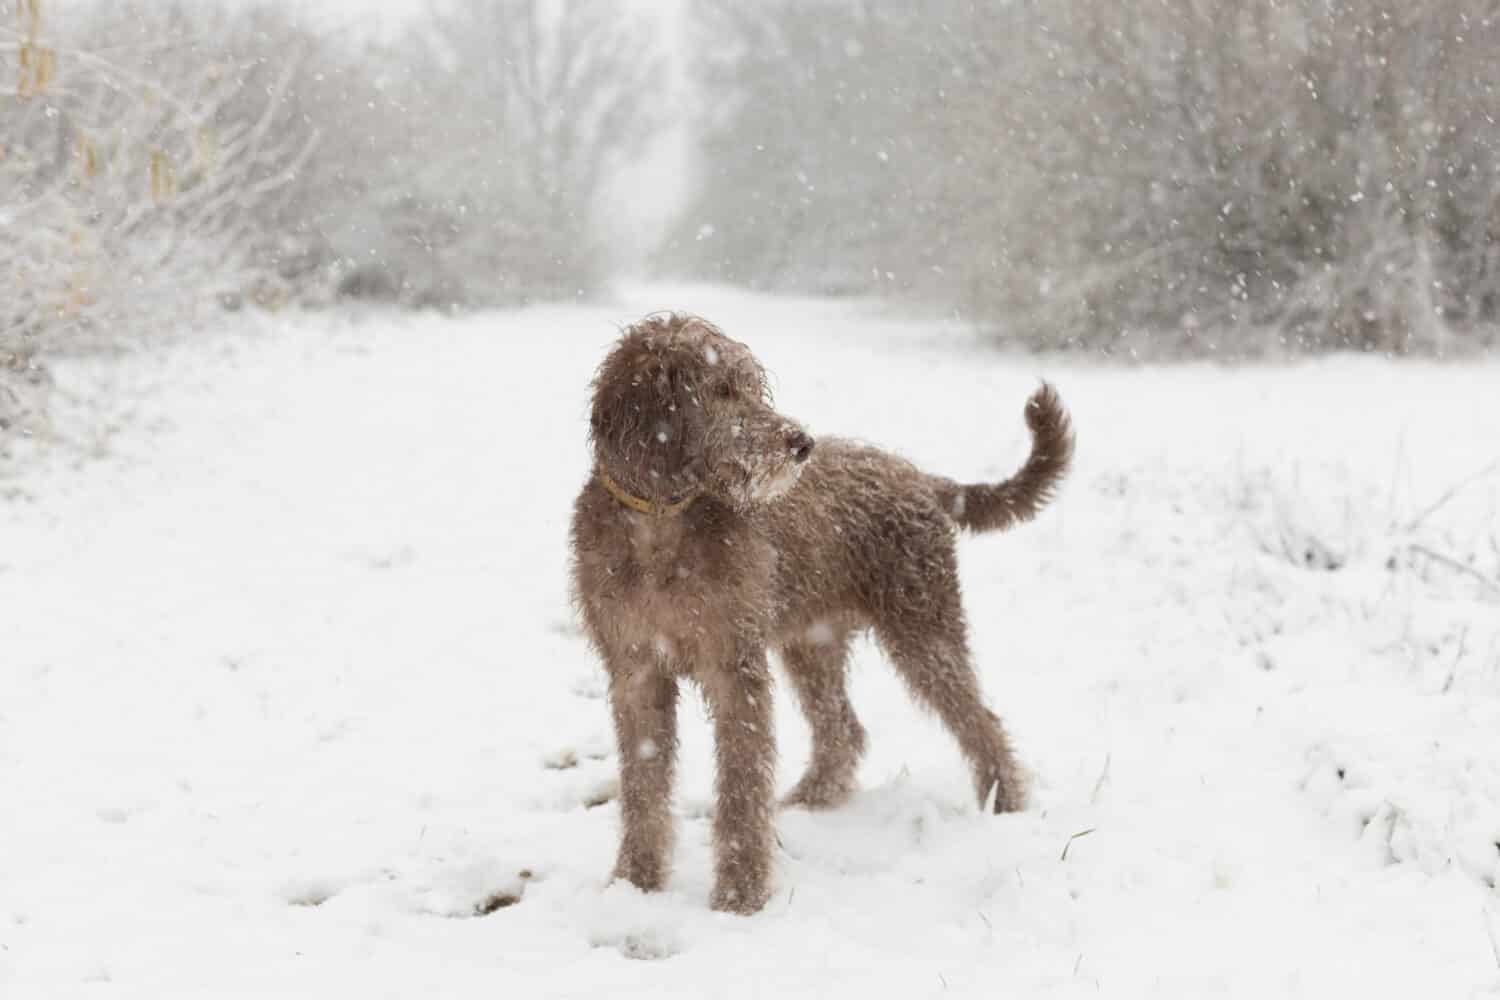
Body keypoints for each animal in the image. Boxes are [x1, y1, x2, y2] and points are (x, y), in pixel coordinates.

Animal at [567, 313, 1074, 917]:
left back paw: (1005, 803)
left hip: (923, 627)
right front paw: (634, 884)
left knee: (980, 720)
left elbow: (741, 785)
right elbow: (643, 786)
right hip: (813, 643)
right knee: (843, 730)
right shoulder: (636, 671)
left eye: (750, 385)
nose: (800, 443)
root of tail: (922, 479)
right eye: (720, 389)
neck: (660, 525)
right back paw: (813, 800)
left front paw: (740, 896)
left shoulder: (735, 668)